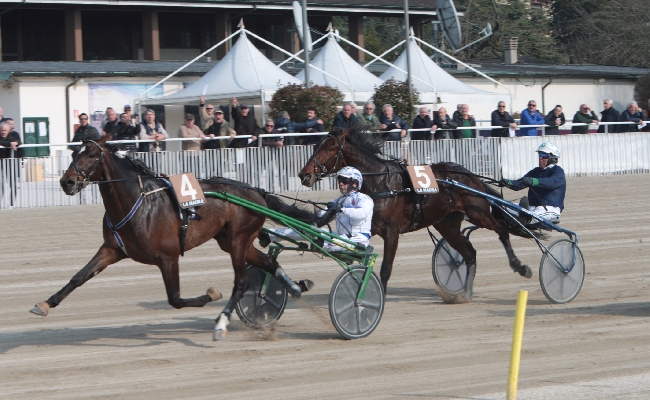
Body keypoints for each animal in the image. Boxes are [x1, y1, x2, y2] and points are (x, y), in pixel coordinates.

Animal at [30, 136, 312, 340]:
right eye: (73, 154)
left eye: (90, 155)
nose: (67, 182)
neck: (137, 202)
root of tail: (256, 190)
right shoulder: (112, 249)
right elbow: (79, 277)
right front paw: (45, 304)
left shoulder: (168, 256)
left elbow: (175, 299)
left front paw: (210, 295)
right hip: (230, 240)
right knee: (270, 263)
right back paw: (294, 288)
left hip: (238, 240)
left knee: (242, 282)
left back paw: (221, 322)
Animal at [296, 126, 536, 302]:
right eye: (316, 145)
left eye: (330, 148)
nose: (304, 175)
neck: (380, 182)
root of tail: (469, 175)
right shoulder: (368, 228)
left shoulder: (392, 232)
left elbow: (385, 269)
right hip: (446, 224)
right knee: (469, 253)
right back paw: (465, 294)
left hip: (478, 213)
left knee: (501, 229)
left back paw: (520, 266)